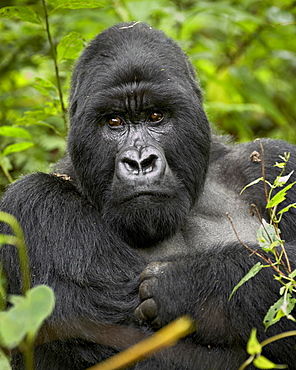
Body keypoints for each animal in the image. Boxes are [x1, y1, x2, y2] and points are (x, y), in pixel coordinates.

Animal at [0, 22, 296, 370]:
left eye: (155, 116)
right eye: (114, 121)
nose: (140, 162)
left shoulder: (276, 162)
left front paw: (192, 286)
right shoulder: (34, 205)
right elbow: (138, 347)